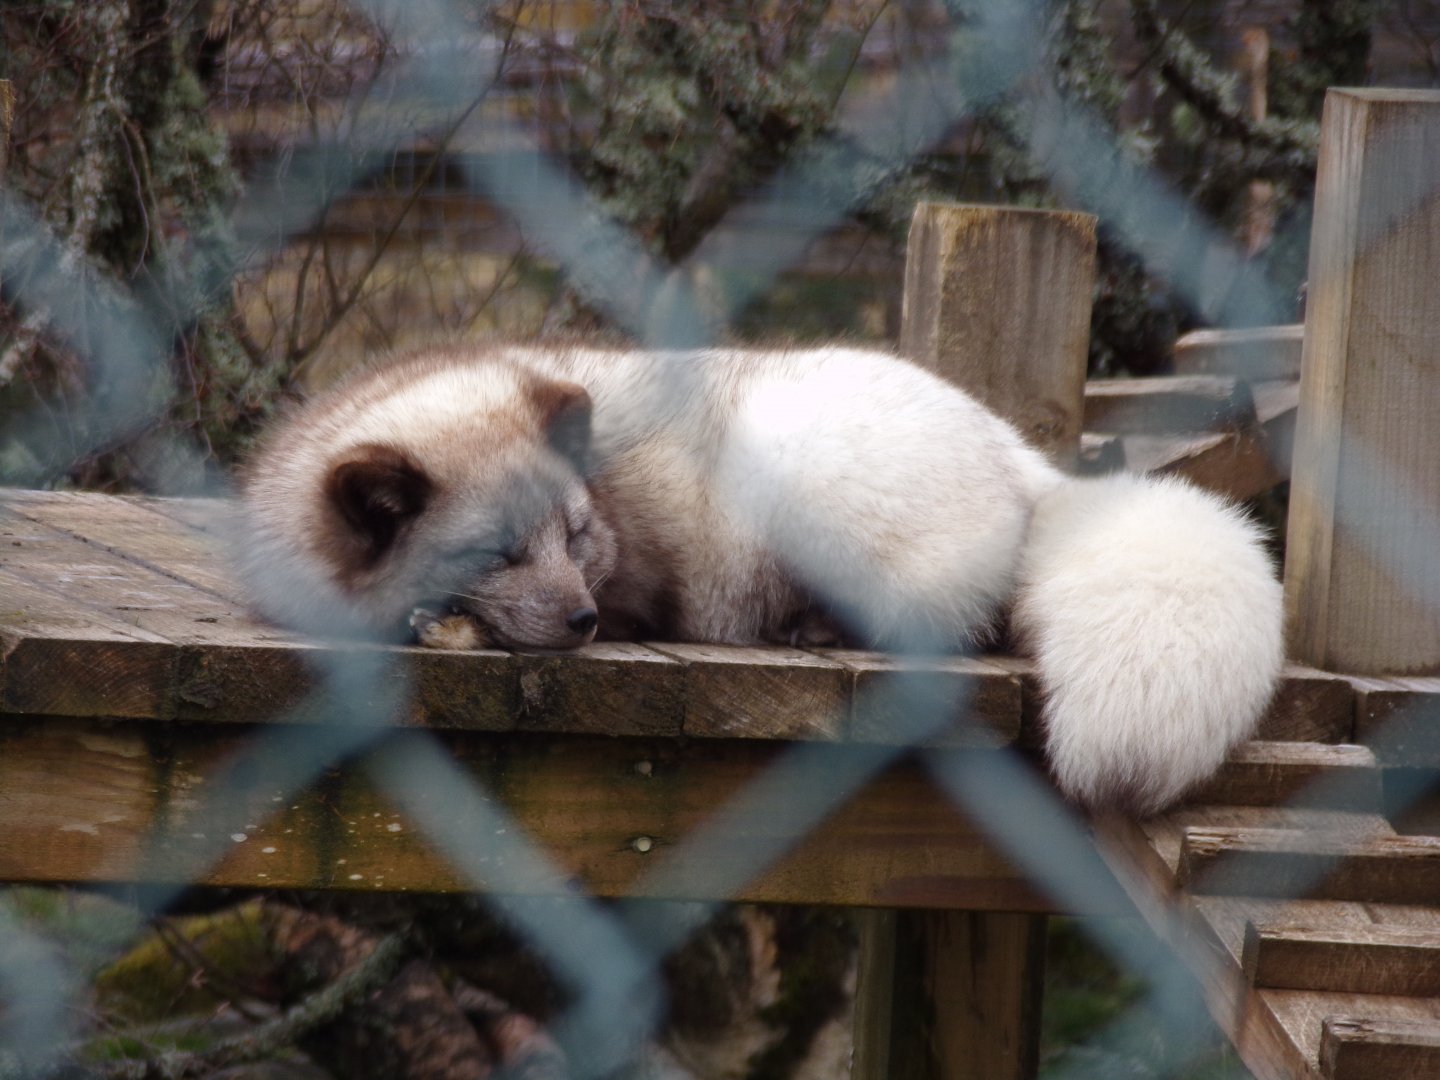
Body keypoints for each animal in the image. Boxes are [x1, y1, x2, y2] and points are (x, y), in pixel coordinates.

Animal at [238, 342, 1284, 814]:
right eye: (497, 554)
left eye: (576, 538)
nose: (581, 622)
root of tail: (1020, 460)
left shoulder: (640, 581)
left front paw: (449, 628)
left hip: (796, 466)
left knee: (947, 624)